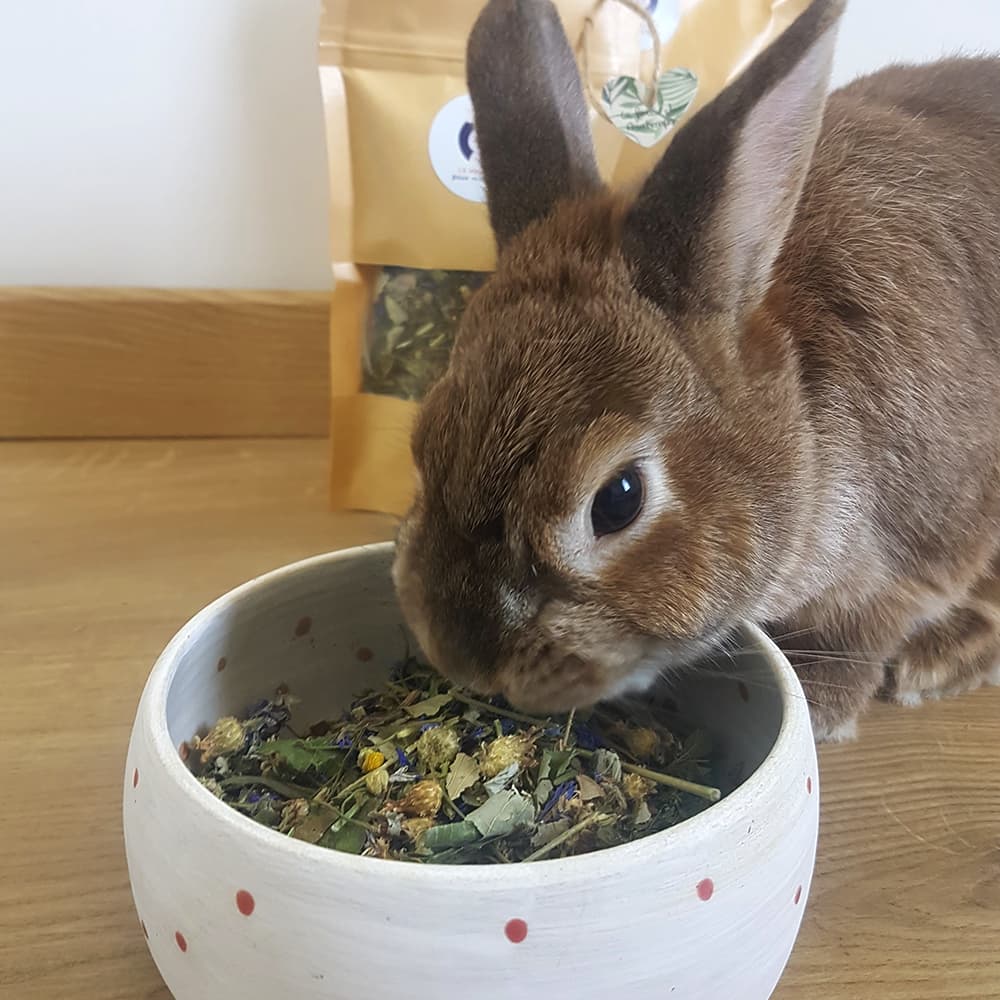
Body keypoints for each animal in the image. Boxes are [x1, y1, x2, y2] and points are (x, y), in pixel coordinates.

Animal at [391, 0, 1000, 742]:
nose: (464, 659)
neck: (803, 411)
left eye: (619, 500)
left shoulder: (918, 549)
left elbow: (862, 630)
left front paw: (819, 706)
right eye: (424, 442)